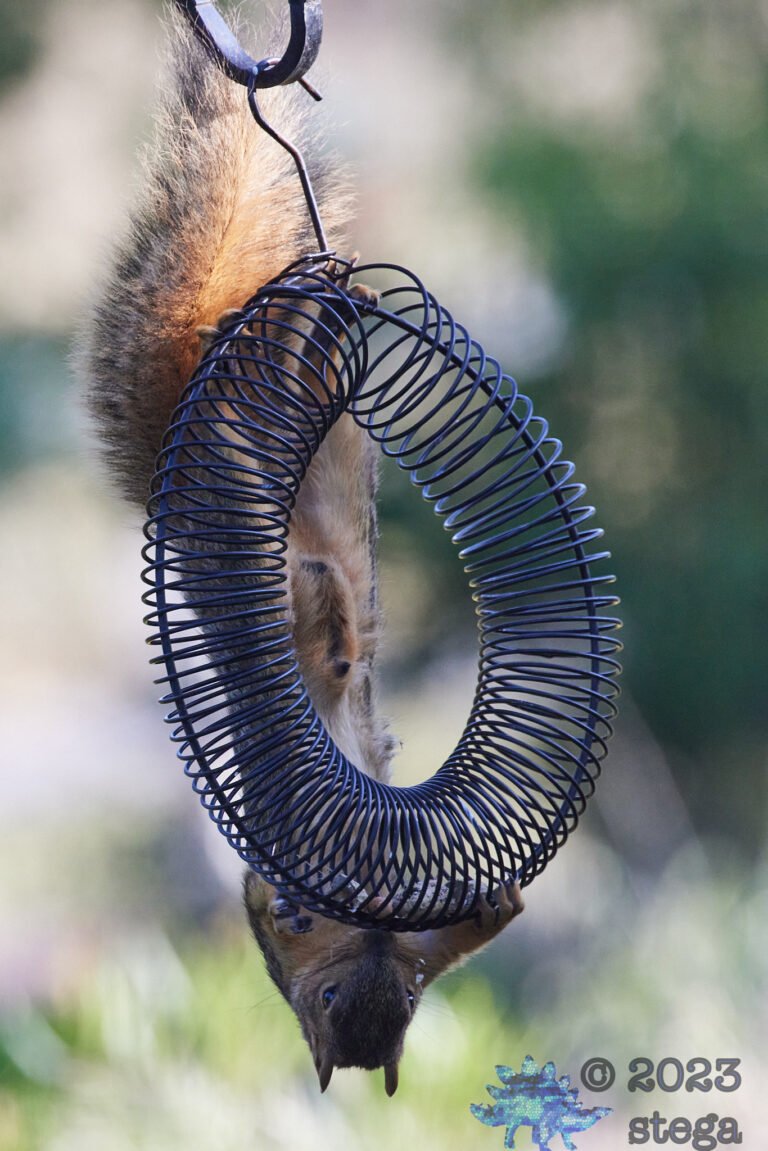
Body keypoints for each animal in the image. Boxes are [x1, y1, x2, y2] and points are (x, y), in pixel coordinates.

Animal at [78, 4, 524, 1096]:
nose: (365, 1013)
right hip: (243, 483)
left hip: (296, 430)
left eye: (400, 1010)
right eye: (328, 1005)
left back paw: (320, 308)